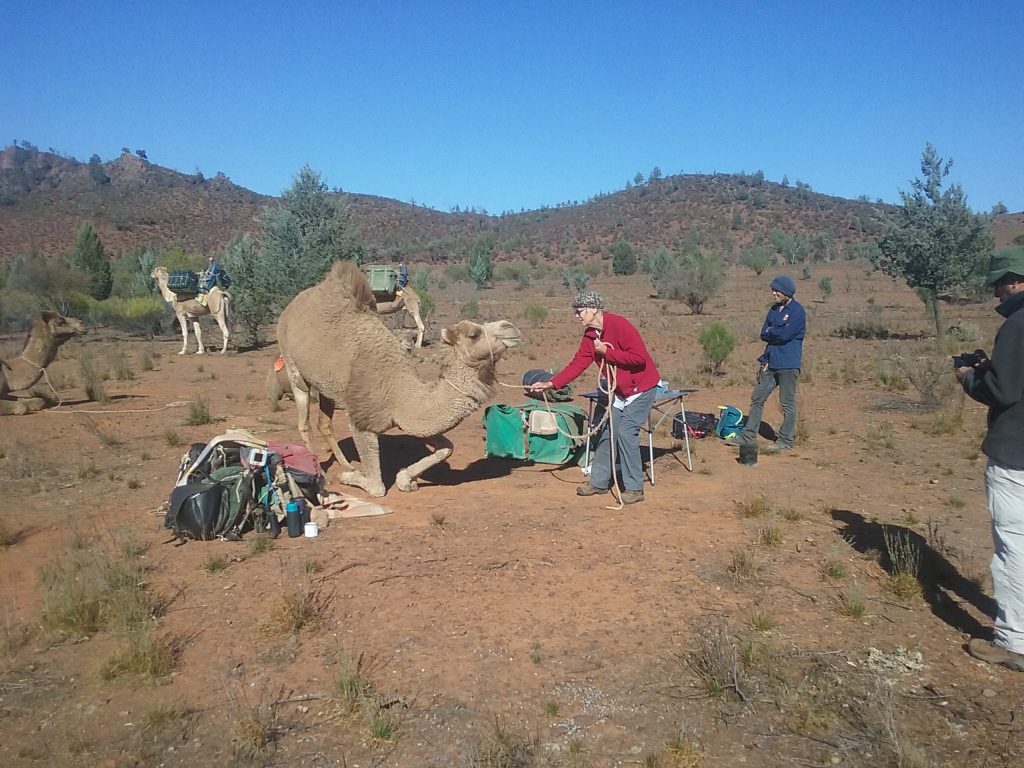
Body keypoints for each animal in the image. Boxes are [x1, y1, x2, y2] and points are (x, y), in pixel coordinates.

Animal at [276, 261, 521, 497]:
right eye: (474, 334)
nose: (510, 327)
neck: (398, 392)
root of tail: (293, 304)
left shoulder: (410, 419)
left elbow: (447, 447)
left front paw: (405, 480)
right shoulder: (362, 421)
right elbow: (377, 487)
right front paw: (350, 478)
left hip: (329, 385)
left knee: (325, 423)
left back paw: (346, 464)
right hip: (292, 365)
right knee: (304, 421)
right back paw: (321, 471)